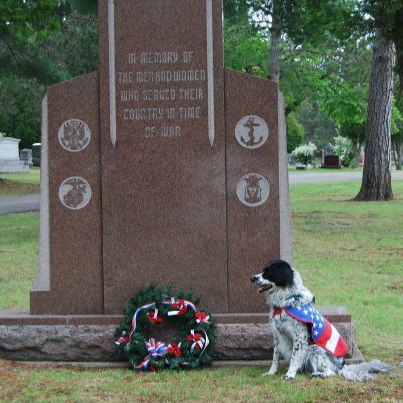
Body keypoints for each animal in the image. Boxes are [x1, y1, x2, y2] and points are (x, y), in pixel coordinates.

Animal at [251, 258, 396, 382]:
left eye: (268, 272)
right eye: (264, 270)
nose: (252, 278)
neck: (286, 301)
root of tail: (342, 365)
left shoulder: (300, 337)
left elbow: (294, 358)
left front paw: (290, 375)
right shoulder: (277, 336)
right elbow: (275, 357)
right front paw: (271, 372)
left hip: (315, 349)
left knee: (332, 372)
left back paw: (319, 374)